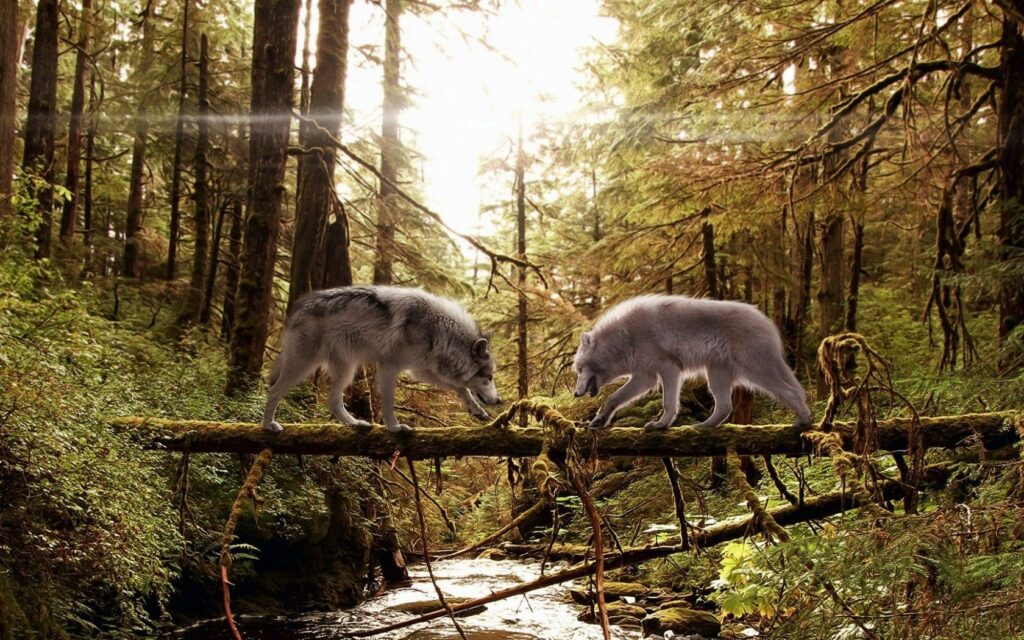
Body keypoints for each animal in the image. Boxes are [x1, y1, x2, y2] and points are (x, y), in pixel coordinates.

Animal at [261, 286, 502, 434]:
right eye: (489, 377)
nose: (499, 400)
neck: (438, 330)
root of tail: (297, 307)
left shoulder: (422, 370)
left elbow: (461, 387)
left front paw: (477, 410)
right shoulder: (389, 367)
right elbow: (388, 403)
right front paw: (395, 428)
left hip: (346, 370)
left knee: (333, 400)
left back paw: (355, 423)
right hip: (303, 366)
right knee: (273, 391)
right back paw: (267, 425)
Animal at [572, 295, 812, 430]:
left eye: (580, 369)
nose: (575, 393)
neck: (625, 337)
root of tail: (766, 321)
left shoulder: (669, 369)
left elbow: (669, 404)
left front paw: (661, 425)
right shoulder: (645, 377)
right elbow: (612, 399)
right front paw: (599, 421)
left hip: (757, 371)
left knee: (791, 392)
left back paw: (804, 420)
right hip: (716, 376)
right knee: (725, 406)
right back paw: (704, 426)